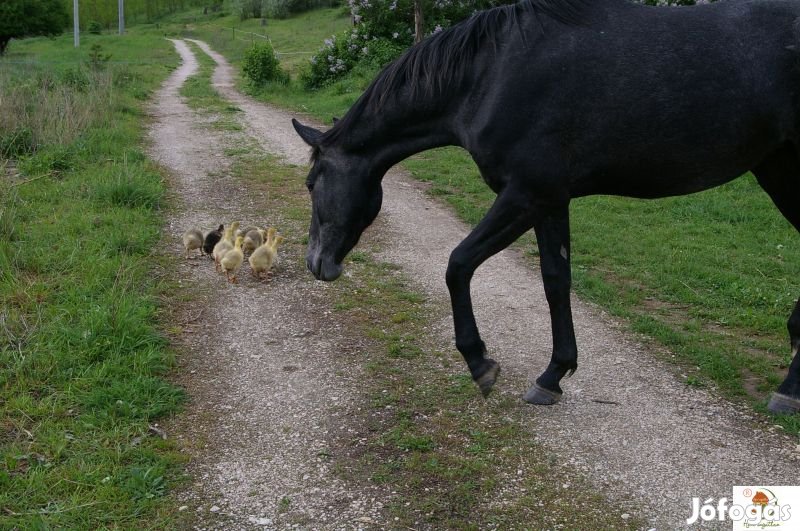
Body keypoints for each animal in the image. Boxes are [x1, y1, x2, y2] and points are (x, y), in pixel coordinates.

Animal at [294, 0, 800, 416]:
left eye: (311, 183)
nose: (316, 262)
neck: (490, 74)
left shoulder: (527, 195)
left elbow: (458, 265)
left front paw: (480, 363)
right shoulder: (552, 201)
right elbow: (556, 282)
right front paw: (553, 375)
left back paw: (788, 389)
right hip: (777, 171)